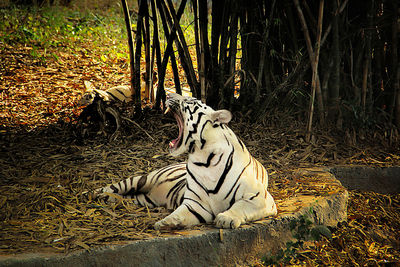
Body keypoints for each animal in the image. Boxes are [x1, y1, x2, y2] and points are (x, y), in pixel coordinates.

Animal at [94, 93, 276, 229]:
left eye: (190, 101)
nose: (167, 94)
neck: (204, 159)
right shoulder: (196, 204)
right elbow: (180, 213)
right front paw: (165, 222)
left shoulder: (259, 198)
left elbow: (240, 206)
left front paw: (226, 218)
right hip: (141, 179)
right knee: (114, 188)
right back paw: (95, 194)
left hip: (143, 198)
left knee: (126, 197)